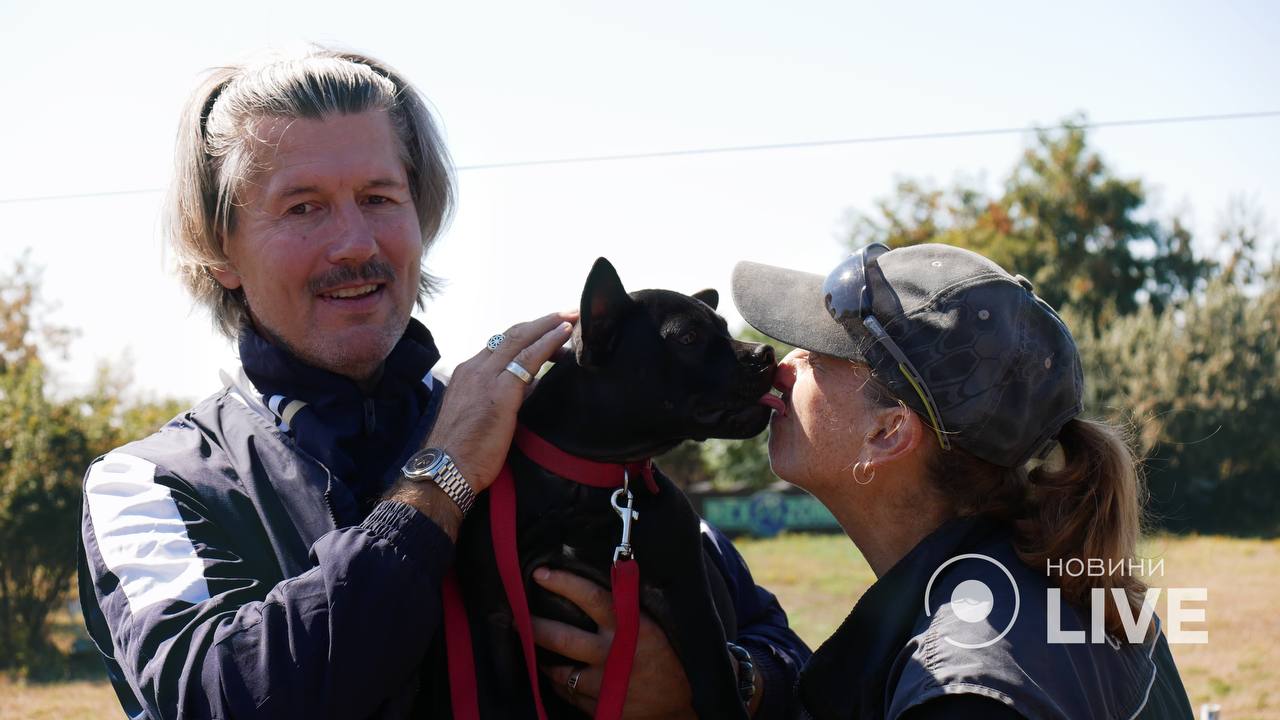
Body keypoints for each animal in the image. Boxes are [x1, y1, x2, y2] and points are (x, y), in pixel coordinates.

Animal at [445, 257, 773, 717]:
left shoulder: (690, 605)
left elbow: (718, 690)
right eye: (689, 338)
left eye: (726, 330)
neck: (589, 477)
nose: (765, 353)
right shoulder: (494, 619)